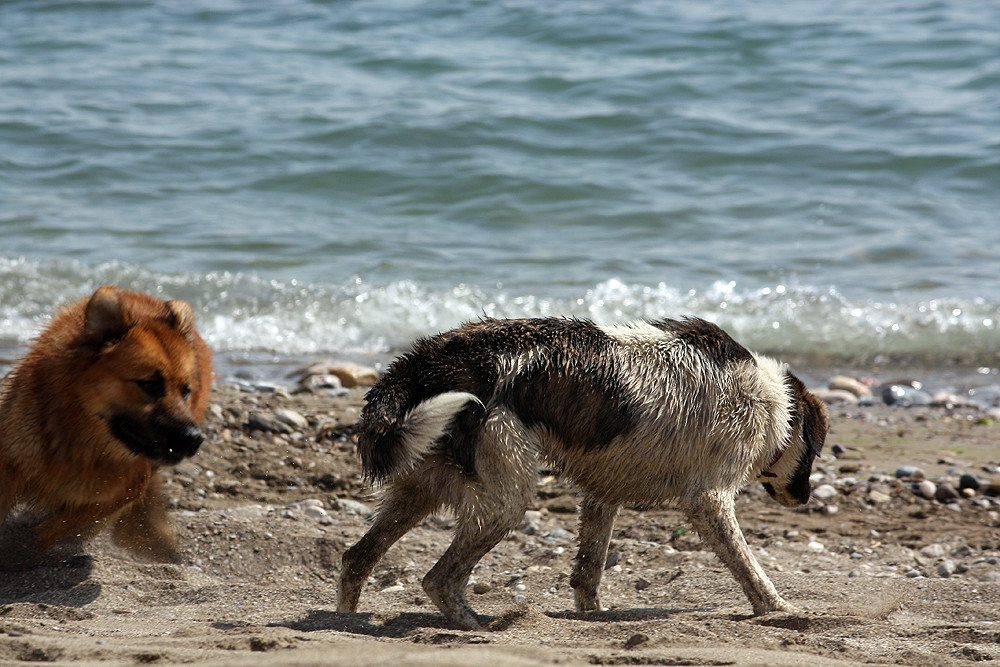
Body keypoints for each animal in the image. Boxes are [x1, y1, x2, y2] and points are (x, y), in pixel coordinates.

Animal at [0, 284, 211, 568]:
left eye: (186, 391)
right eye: (149, 384)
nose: (194, 438)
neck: (79, 444)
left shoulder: (121, 492)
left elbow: (55, 527)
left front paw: (18, 546)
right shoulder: (11, 462)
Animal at [338, 318, 828, 632]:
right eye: (815, 452)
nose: (805, 499)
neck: (773, 400)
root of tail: (428, 362)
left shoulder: (602, 496)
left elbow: (588, 570)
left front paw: (592, 616)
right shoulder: (708, 499)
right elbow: (749, 567)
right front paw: (777, 609)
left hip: (421, 486)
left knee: (356, 558)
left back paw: (343, 620)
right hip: (504, 500)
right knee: (438, 578)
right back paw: (479, 626)